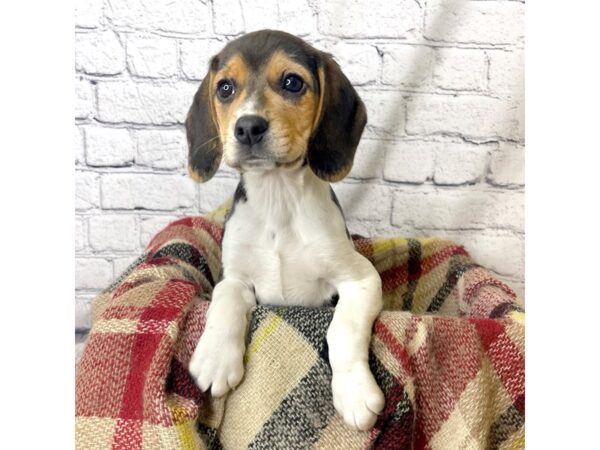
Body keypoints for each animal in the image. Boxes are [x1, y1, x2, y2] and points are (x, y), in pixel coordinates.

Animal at [186, 29, 384, 430]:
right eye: (225, 88)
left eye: (292, 82)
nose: (247, 127)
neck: (278, 200)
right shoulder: (235, 278)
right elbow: (224, 303)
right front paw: (215, 359)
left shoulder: (361, 279)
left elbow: (342, 329)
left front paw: (355, 393)